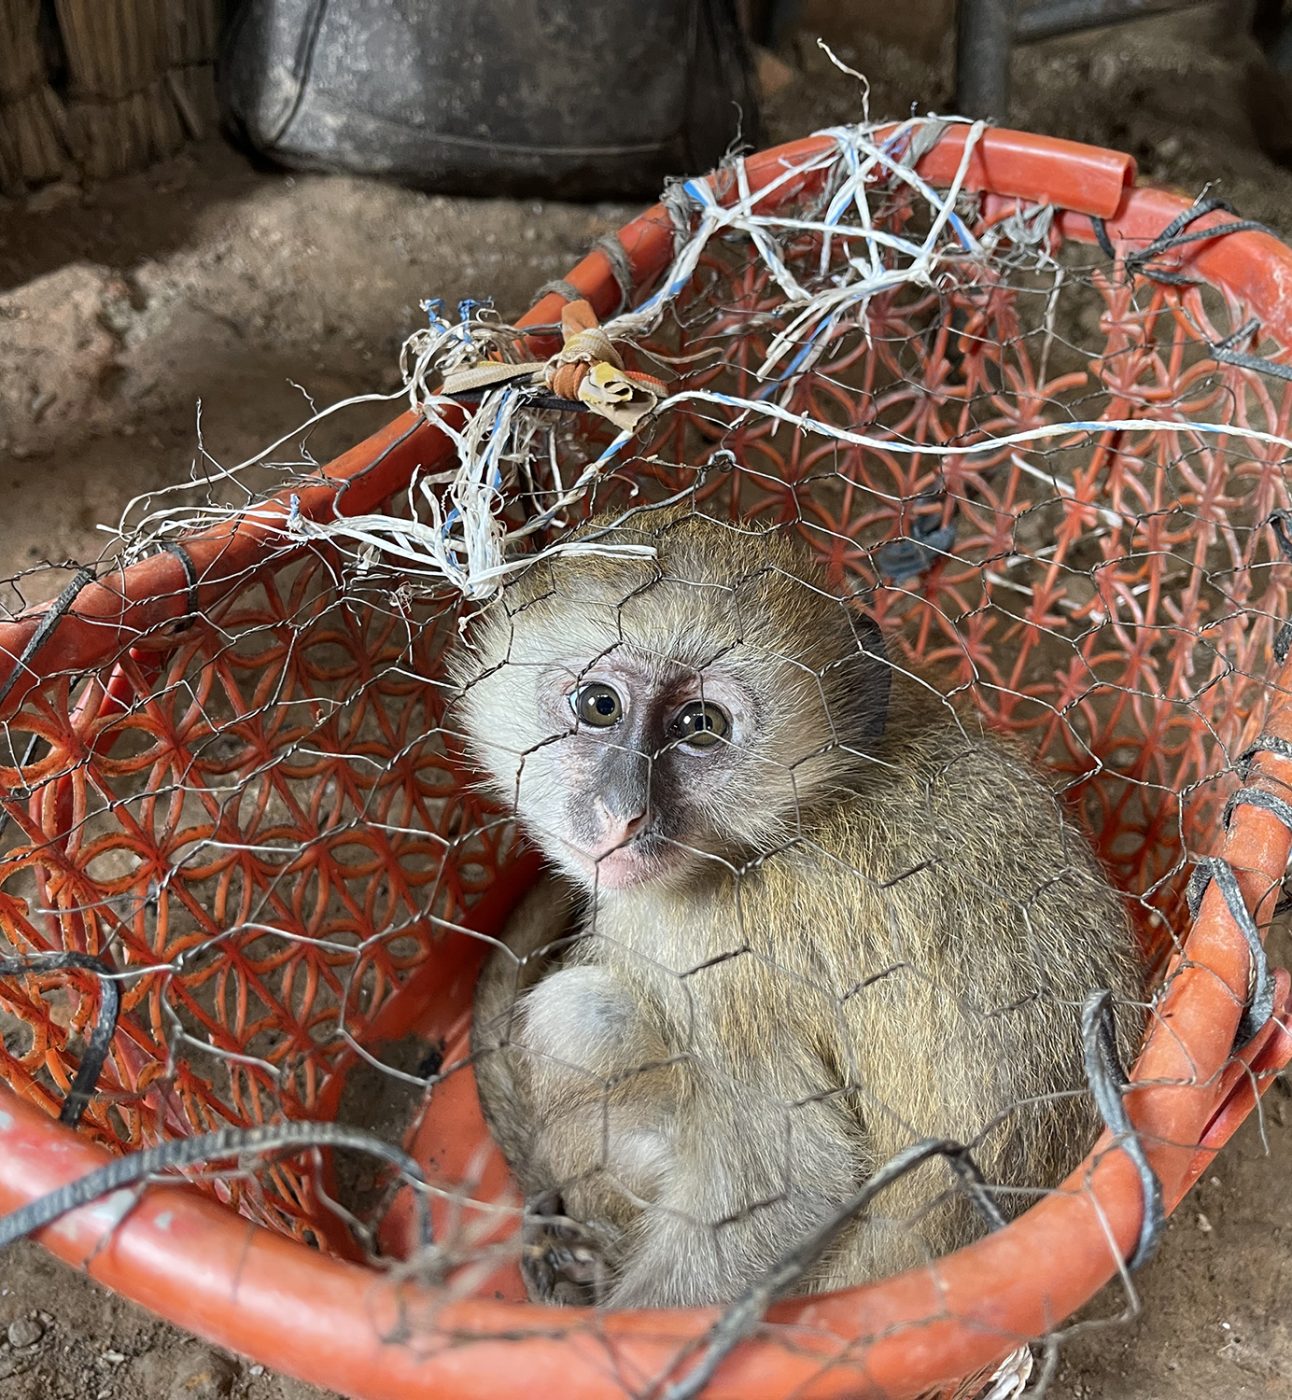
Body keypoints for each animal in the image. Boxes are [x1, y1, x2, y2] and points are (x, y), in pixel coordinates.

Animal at [453, 506, 1142, 1310]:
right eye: (600, 706)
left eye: (699, 724)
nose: (623, 813)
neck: (797, 815)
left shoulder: (719, 956)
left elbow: (794, 1183)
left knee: (586, 1017)